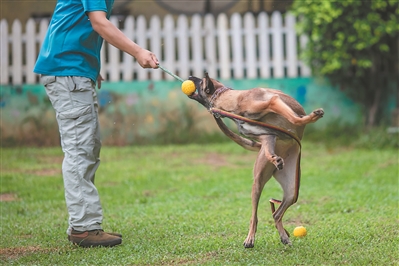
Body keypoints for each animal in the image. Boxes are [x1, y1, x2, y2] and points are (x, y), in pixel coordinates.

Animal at [188, 73, 324, 247]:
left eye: (199, 81)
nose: (190, 76)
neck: (232, 97)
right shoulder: (267, 135)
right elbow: (275, 135)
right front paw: (273, 158)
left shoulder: (273, 103)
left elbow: (295, 119)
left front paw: (309, 118)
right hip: (262, 184)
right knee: (260, 216)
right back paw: (254, 238)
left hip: (292, 191)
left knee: (276, 214)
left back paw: (282, 236)